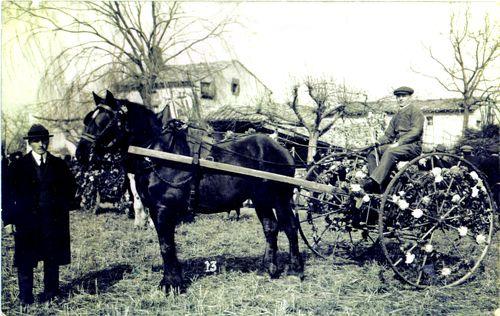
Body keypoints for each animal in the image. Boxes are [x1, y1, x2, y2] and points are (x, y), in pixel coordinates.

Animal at [76, 90, 302, 292]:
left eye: (105, 121)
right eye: (88, 119)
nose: (81, 153)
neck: (159, 153)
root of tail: (282, 150)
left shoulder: (163, 208)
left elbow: (166, 245)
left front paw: (170, 284)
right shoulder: (155, 209)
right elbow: (166, 243)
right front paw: (175, 279)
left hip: (279, 198)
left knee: (290, 227)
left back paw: (294, 269)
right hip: (260, 199)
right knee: (270, 228)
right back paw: (268, 269)